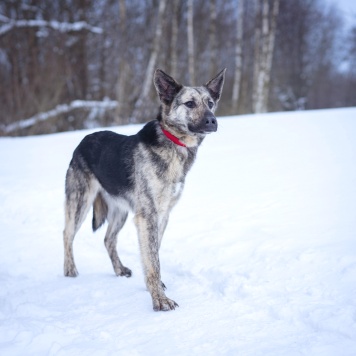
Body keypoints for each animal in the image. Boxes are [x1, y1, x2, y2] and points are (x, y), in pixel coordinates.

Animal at [63, 68, 225, 310]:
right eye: (189, 104)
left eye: (211, 103)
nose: (212, 121)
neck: (175, 144)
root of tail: (83, 141)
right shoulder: (148, 216)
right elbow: (153, 260)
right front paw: (160, 299)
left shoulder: (162, 215)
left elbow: (153, 254)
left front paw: (155, 288)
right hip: (80, 203)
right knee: (67, 234)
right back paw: (69, 270)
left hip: (120, 211)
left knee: (108, 239)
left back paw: (119, 269)